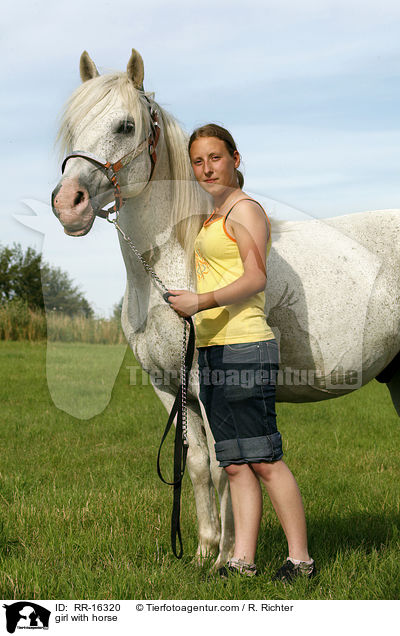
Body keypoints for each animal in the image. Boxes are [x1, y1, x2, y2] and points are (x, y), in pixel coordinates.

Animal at [53, 49, 400, 568]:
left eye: (125, 126)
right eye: (72, 127)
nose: (67, 204)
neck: (169, 267)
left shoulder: (208, 385)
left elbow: (226, 465)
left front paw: (228, 558)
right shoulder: (168, 388)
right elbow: (197, 465)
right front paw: (202, 550)